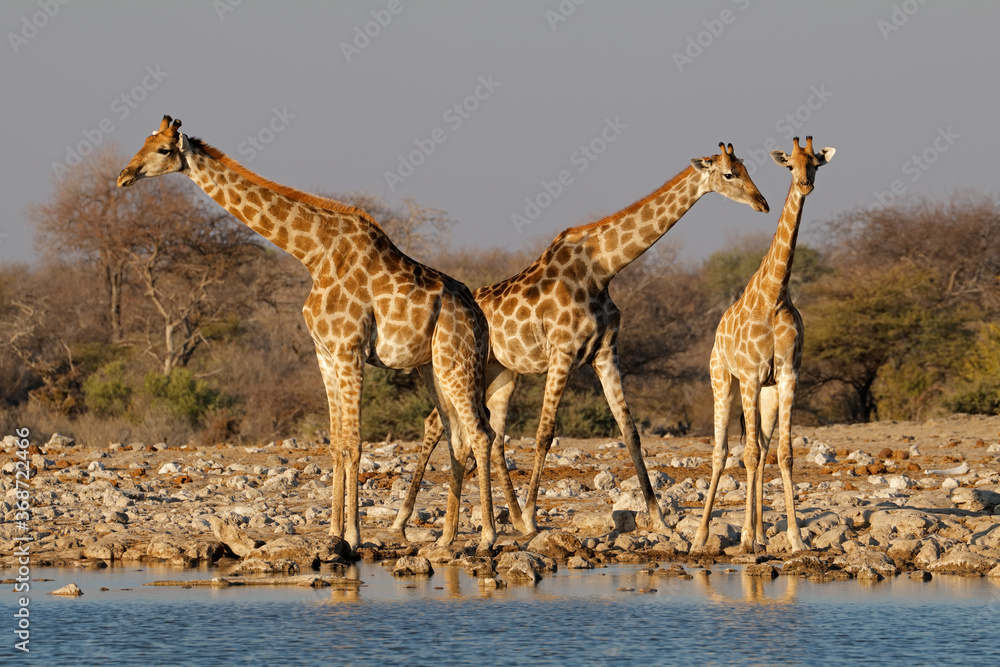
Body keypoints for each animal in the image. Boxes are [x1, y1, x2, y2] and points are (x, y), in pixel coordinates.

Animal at [117, 116, 498, 553]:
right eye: (144, 141)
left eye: (163, 150)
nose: (124, 175)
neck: (313, 254)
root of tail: (479, 317)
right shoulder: (325, 354)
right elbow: (336, 444)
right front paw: (334, 534)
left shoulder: (349, 350)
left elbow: (354, 444)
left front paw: (353, 536)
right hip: (432, 369)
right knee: (458, 437)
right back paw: (446, 540)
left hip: (458, 362)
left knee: (482, 433)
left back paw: (487, 538)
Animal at [393, 142, 770, 538]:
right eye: (729, 174)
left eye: (746, 169)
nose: (762, 203)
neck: (602, 269)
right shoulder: (563, 353)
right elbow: (544, 433)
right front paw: (533, 514)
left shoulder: (605, 353)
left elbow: (630, 431)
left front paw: (660, 519)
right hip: (460, 372)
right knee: (440, 424)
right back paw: (408, 519)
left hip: (501, 374)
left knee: (486, 434)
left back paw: (507, 519)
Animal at [693, 136, 835, 554]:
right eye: (790, 166)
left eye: (815, 163)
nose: (805, 184)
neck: (775, 295)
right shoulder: (751, 375)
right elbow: (750, 455)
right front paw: (744, 541)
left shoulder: (788, 375)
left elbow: (783, 455)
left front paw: (795, 540)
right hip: (724, 381)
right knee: (724, 452)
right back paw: (702, 538)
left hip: (766, 395)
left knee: (762, 447)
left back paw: (757, 535)